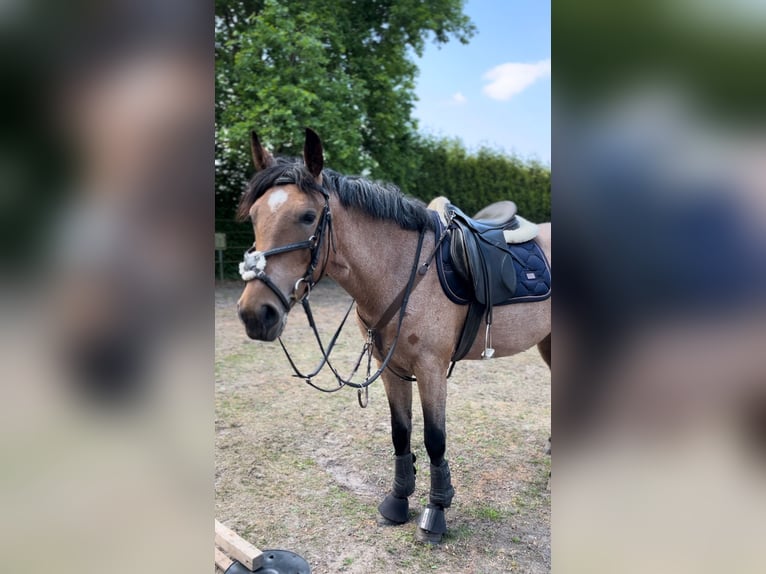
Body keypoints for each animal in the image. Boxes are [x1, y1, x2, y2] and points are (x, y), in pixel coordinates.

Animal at [235, 128, 551, 543]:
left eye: (307, 216)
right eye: (255, 215)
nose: (256, 314)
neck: (402, 270)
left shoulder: (431, 369)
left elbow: (434, 440)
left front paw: (436, 512)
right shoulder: (392, 368)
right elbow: (400, 433)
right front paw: (399, 501)